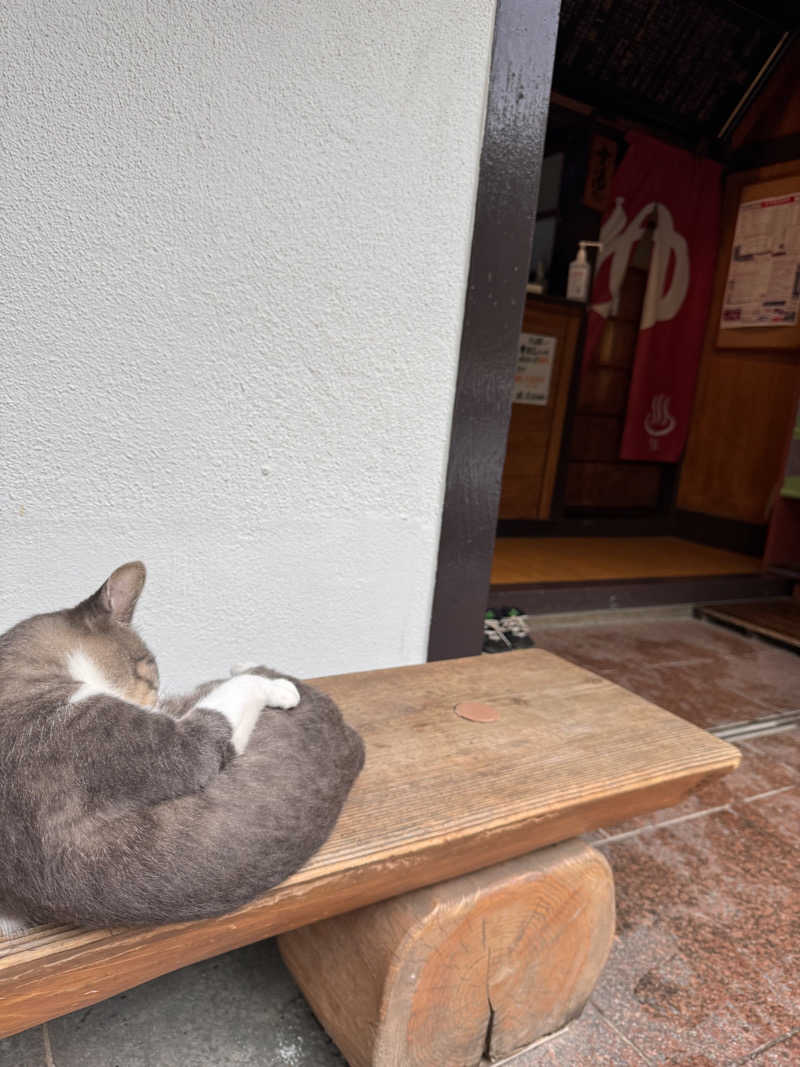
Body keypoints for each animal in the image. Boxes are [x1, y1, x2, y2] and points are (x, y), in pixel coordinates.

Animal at [0, 563, 366, 930]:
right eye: (150, 671)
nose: (157, 702)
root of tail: (350, 736)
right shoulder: (154, 743)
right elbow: (240, 695)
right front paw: (276, 688)